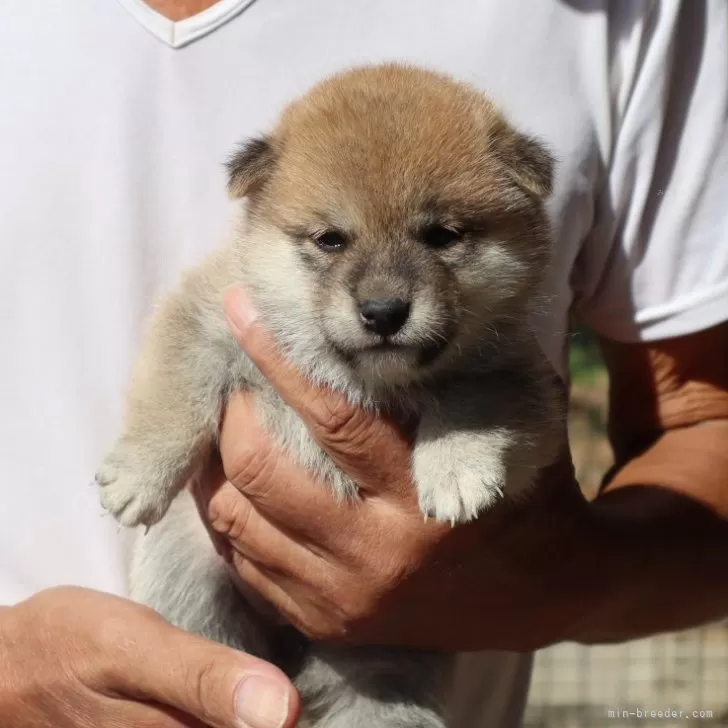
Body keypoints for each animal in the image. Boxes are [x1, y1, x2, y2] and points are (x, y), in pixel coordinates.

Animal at [95, 64, 564, 728]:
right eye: (331, 239)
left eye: (442, 236)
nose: (384, 312)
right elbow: (175, 391)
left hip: (383, 666)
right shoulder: (208, 317)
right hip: (190, 583)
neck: (361, 376)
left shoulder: (518, 377)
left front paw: (456, 470)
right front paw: (140, 474)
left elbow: (472, 400)